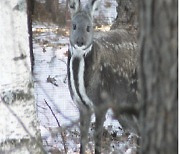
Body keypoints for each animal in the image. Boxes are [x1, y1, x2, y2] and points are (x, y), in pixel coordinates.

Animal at [67, 0, 139, 153]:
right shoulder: (82, 106)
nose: (80, 42)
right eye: (74, 25)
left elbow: (97, 137)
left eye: (89, 27)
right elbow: (83, 138)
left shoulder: (101, 102)